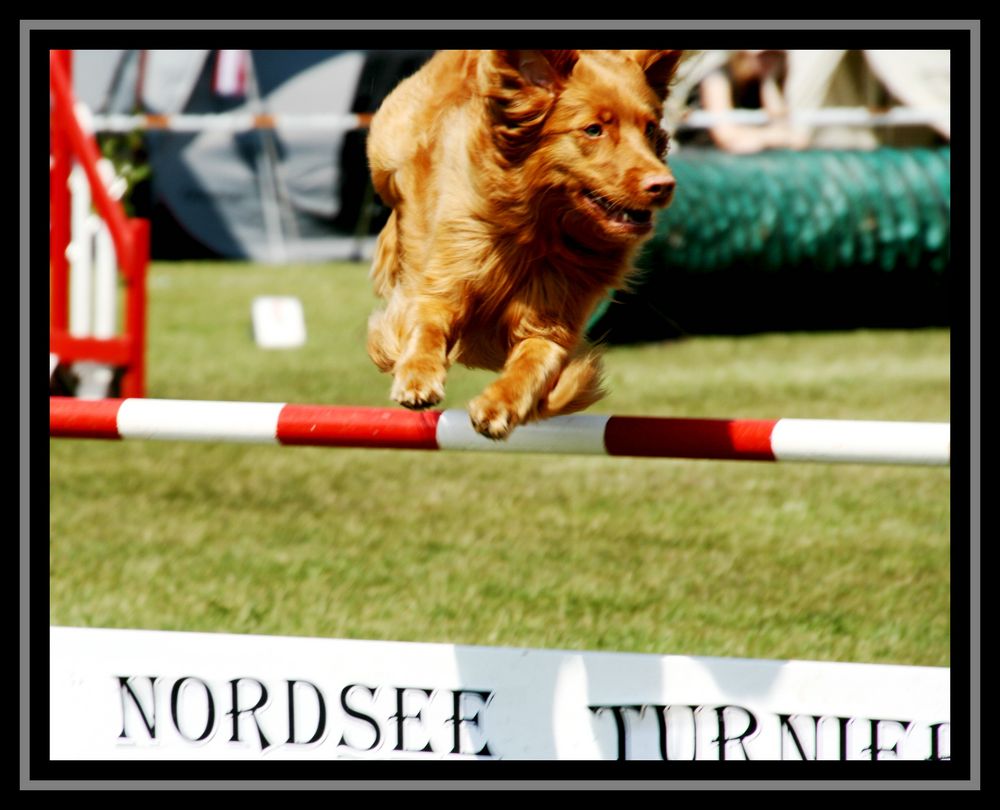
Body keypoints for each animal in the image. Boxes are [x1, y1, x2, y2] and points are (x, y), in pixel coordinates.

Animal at [364, 47, 684, 438]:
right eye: (593, 129)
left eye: (650, 128)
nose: (663, 185)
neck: (534, 232)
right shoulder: (445, 280)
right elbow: (426, 327)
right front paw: (417, 377)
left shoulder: (552, 320)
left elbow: (534, 363)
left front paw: (499, 405)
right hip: (386, 155)